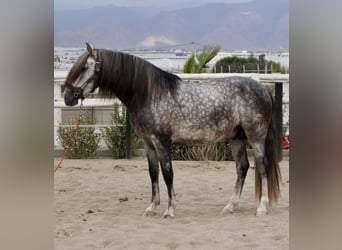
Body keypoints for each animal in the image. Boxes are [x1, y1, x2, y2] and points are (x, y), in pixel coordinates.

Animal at [62, 43, 280, 219]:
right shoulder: (148, 143)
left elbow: (168, 174)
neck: (149, 94)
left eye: (84, 67)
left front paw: (169, 210)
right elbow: (153, 173)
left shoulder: (162, 142)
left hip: (256, 137)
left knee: (262, 167)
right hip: (237, 138)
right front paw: (152, 207)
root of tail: (262, 88)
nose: (67, 97)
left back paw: (262, 208)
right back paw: (230, 206)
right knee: (242, 168)